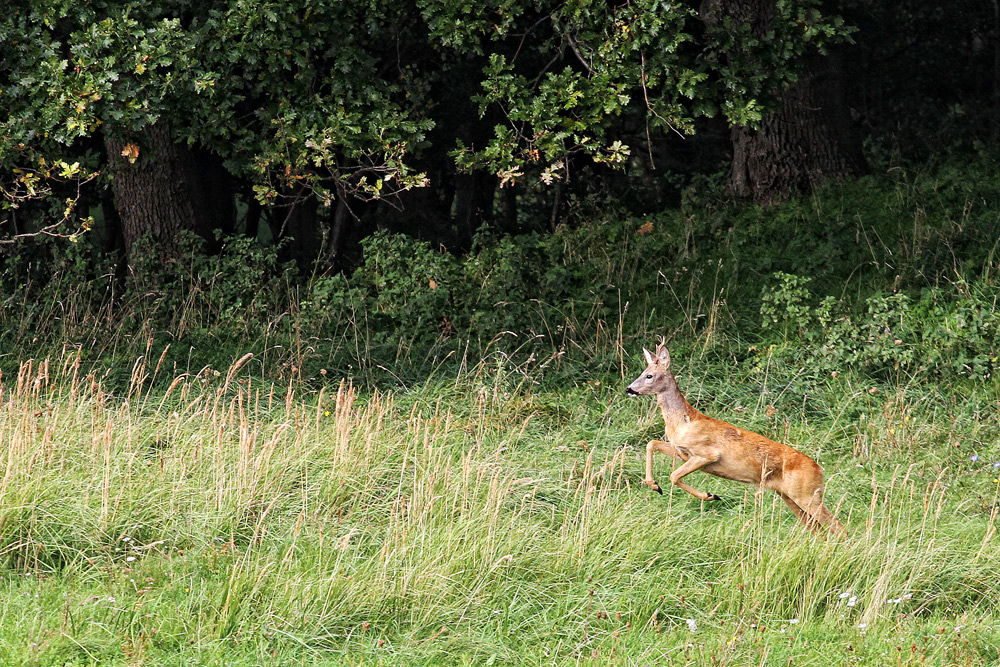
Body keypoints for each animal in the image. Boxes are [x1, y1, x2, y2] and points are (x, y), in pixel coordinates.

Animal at [628, 342, 848, 536]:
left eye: (649, 375)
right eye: (643, 372)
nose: (629, 389)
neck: (682, 422)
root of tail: (820, 470)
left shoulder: (706, 454)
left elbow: (674, 475)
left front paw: (710, 496)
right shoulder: (681, 451)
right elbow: (651, 444)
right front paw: (654, 485)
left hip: (806, 493)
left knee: (839, 527)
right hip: (789, 496)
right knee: (817, 529)